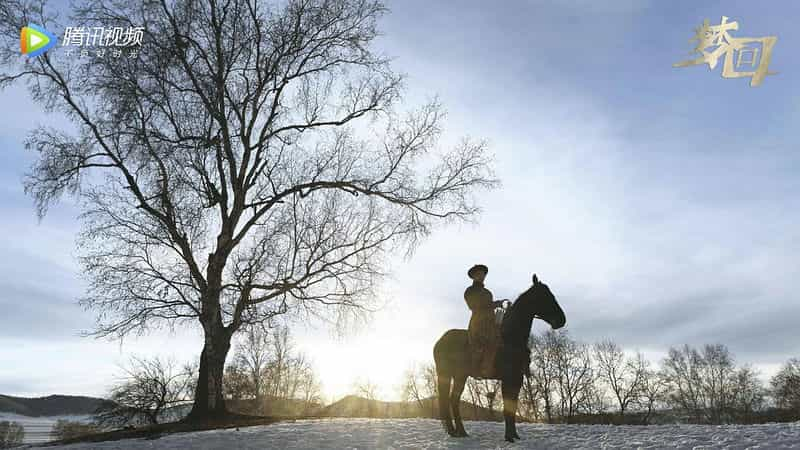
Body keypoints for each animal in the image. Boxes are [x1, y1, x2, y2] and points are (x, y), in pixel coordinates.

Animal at [434, 272, 564, 442]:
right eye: (544, 296)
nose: (561, 320)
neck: (510, 338)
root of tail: (440, 341)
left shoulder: (517, 379)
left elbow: (512, 407)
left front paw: (514, 435)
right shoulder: (508, 378)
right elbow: (507, 408)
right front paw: (509, 437)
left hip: (459, 376)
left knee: (452, 400)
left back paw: (460, 432)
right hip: (451, 375)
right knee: (449, 400)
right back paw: (456, 431)